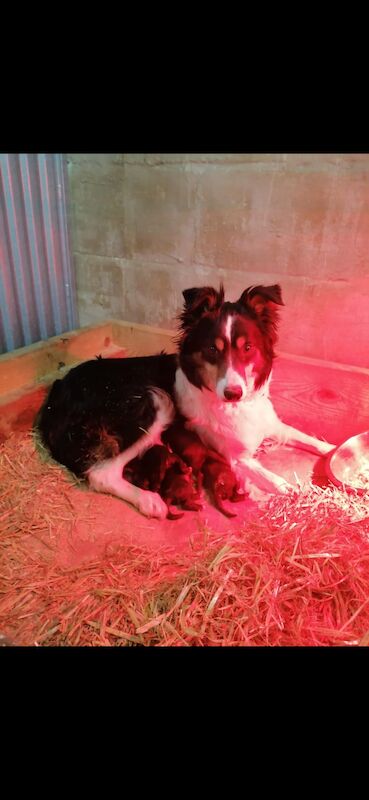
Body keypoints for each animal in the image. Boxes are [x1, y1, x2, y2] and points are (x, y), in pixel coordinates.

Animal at [37, 282, 334, 520]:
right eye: (212, 349)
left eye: (248, 348)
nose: (233, 393)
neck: (237, 406)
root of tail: (57, 393)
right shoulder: (235, 457)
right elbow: (275, 479)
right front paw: (296, 491)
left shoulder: (273, 425)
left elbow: (309, 439)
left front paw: (334, 449)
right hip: (154, 402)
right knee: (102, 474)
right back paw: (149, 500)